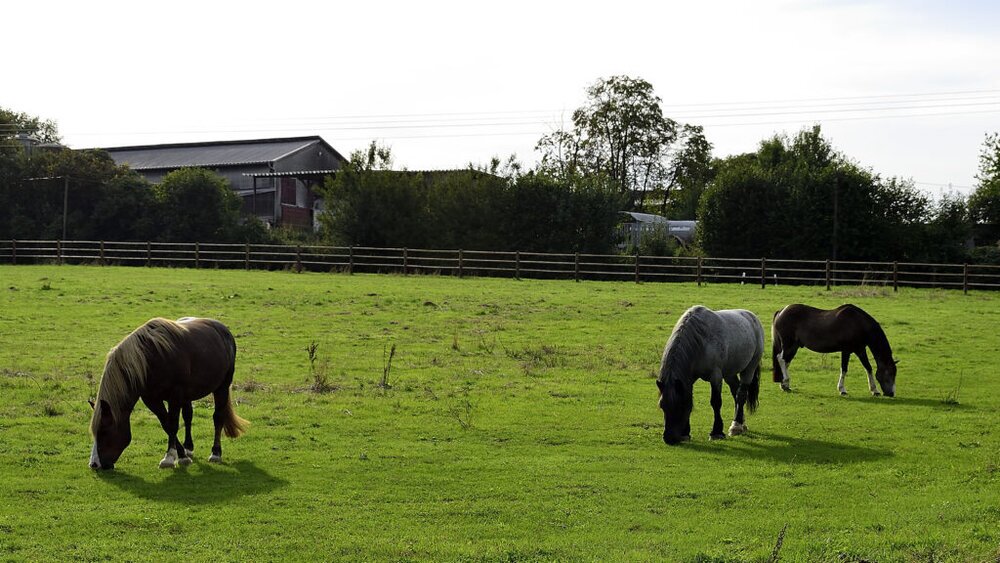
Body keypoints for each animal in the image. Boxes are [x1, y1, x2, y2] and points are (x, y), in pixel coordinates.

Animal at [88, 317, 249, 470]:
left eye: (104, 431)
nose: (94, 464)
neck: (150, 360)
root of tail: (222, 329)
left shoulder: (175, 397)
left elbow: (172, 425)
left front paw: (171, 458)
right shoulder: (152, 399)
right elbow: (166, 424)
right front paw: (181, 454)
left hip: (222, 387)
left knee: (218, 417)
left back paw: (215, 453)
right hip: (188, 396)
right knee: (188, 416)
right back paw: (188, 448)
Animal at [656, 305, 764, 445]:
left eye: (680, 406)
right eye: (662, 406)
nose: (669, 438)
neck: (701, 341)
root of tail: (751, 316)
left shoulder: (715, 376)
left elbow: (716, 402)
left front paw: (716, 432)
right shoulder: (689, 379)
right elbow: (690, 398)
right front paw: (685, 433)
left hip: (750, 368)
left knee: (741, 395)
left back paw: (736, 426)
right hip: (729, 373)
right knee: (735, 392)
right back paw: (741, 423)